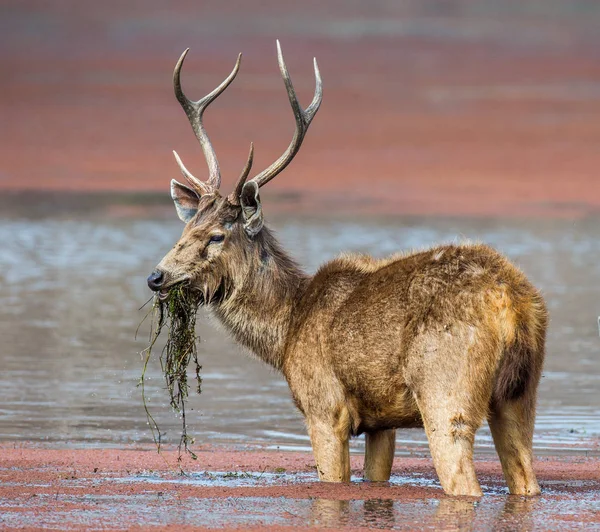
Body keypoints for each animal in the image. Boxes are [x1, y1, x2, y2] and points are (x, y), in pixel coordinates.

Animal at [148, 42, 548, 498]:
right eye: (185, 227)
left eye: (216, 236)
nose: (157, 276)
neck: (286, 332)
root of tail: (511, 304)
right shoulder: (381, 423)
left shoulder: (325, 407)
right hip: (520, 396)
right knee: (526, 478)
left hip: (446, 394)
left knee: (464, 480)